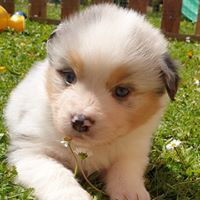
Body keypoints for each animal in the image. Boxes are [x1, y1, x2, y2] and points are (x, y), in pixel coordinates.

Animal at [5, 3, 179, 200]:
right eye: (70, 76)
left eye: (121, 91)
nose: (80, 122)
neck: (88, 147)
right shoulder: (30, 151)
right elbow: (55, 173)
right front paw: (73, 195)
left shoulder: (134, 150)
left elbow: (126, 170)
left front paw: (131, 192)